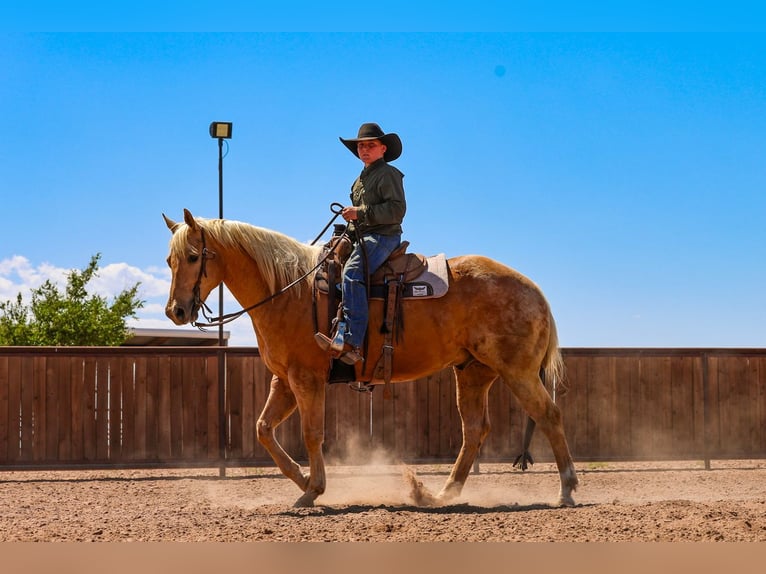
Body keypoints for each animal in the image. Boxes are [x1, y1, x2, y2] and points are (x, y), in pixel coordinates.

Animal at [163, 208, 579, 508]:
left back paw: (566, 489)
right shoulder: (284, 380)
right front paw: (302, 479)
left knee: (549, 415)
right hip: (473, 373)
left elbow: (312, 433)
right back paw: (441, 494)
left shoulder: (307, 379)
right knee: (475, 430)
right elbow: (263, 429)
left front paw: (313, 489)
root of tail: (534, 290)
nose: (176, 311)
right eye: (169, 260)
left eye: (194, 256)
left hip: (518, 372)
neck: (289, 290)